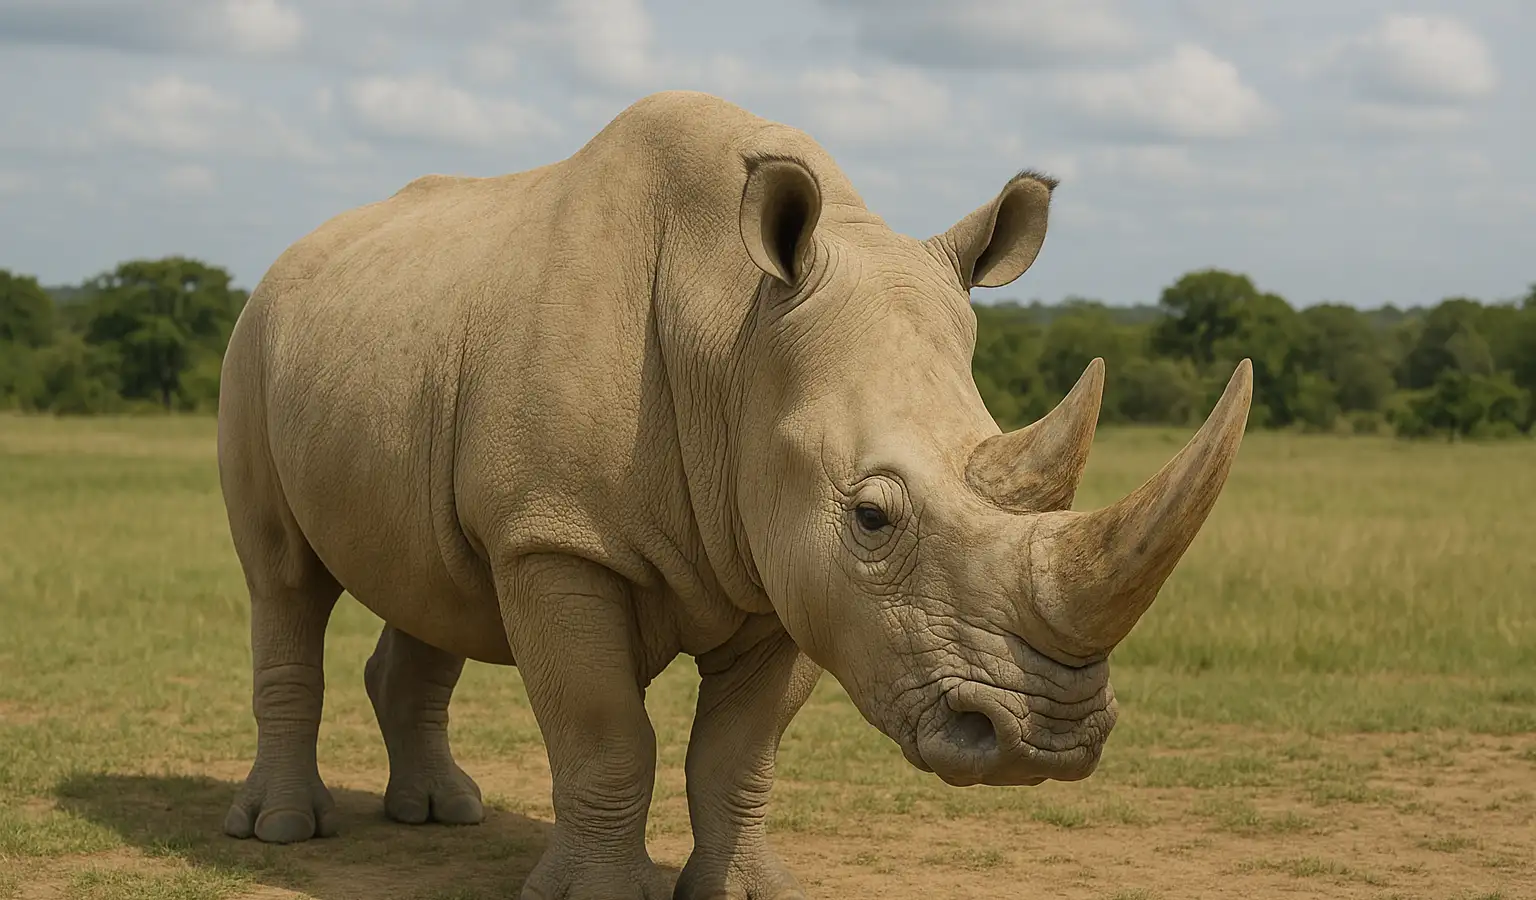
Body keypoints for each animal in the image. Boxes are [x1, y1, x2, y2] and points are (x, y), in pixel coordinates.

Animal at [215, 90, 1252, 898]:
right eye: (873, 517)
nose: (1046, 741)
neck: (734, 332)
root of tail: (286, 257)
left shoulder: (786, 562)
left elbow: (738, 753)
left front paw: (746, 893)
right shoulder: (557, 536)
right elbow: (605, 733)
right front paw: (597, 897)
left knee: (432, 584)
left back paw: (442, 815)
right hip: (255, 338)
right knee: (283, 579)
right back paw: (282, 831)